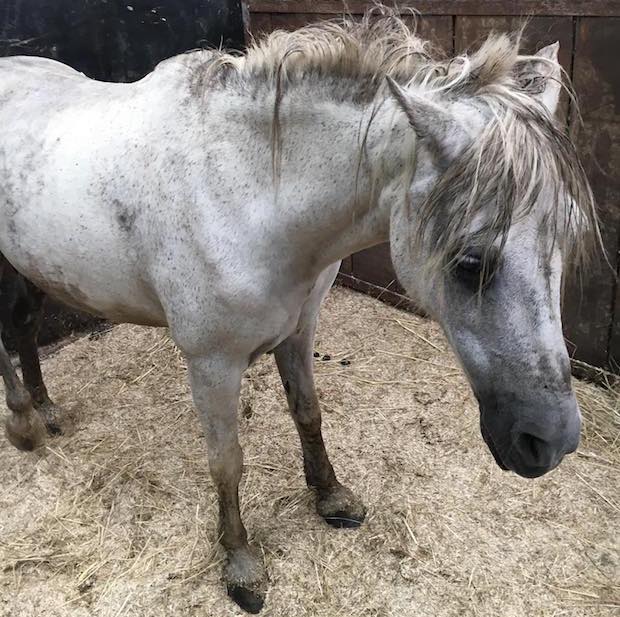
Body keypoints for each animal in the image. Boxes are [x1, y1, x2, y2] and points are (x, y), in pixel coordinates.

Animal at [0, 9, 600, 612]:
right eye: (471, 261)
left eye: (568, 236)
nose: (551, 443)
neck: (247, 198)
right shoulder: (211, 364)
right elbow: (226, 461)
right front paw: (241, 563)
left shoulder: (299, 330)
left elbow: (308, 414)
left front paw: (330, 496)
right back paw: (25, 425)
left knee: (24, 329)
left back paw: (47, 410)